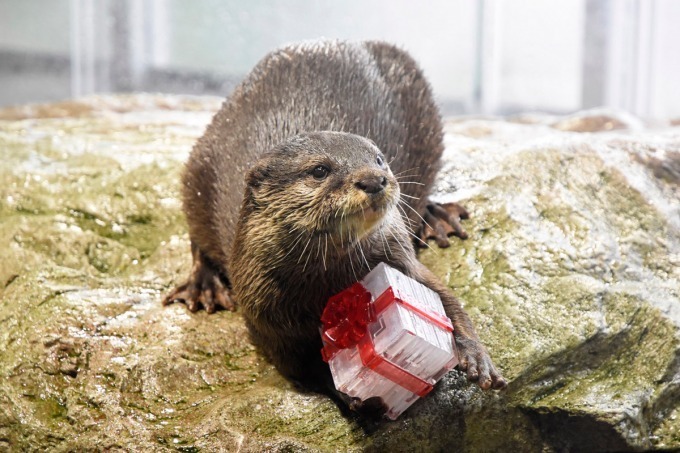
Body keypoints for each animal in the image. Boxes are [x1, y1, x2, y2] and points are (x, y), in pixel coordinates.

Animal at [165, 40, 504, 398]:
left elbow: (448, 300)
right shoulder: (265, 315)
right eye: (319, 170)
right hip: (199, 164)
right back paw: (204, 287)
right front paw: (353, 395)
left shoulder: (401, 259)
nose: (373, 179)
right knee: (196, 233)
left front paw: (477, 357)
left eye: (379, 159)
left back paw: (437, 217)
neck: (330, 281)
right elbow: (305, 368)